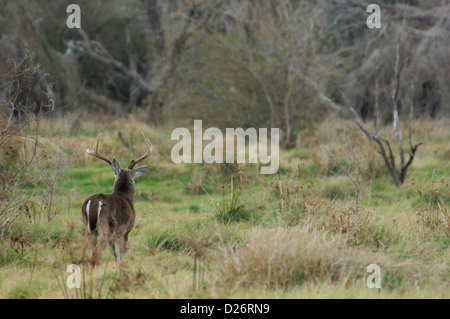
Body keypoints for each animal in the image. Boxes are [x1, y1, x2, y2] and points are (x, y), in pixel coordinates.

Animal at [80, 133, 152, 268]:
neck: (125, 196)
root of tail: (94, 203)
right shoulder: (125, 231)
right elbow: (121, 255)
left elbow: (115, 256)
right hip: (106, 228)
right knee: (97, 252)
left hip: (88, 229)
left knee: (91, 251)